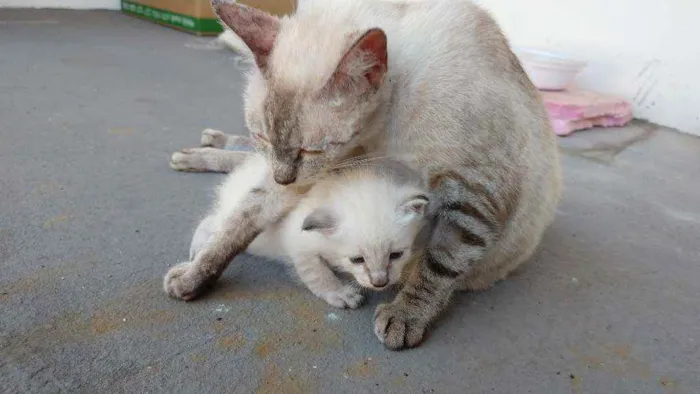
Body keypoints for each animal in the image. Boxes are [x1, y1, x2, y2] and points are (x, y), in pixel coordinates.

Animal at [189, 155, 426, 310]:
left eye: (396, 255)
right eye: (357, 260)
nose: (380, 283)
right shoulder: (298, 244)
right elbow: (317, 273)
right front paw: (340, 293)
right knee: (212, 223)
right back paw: (196, 252)